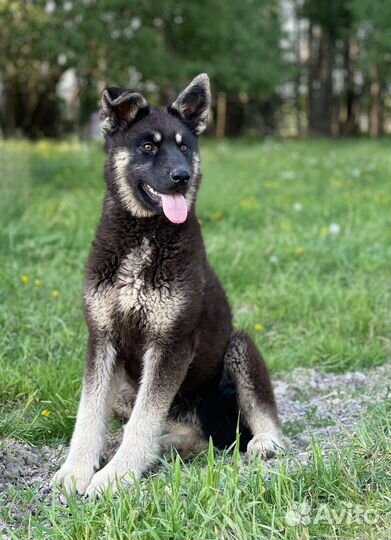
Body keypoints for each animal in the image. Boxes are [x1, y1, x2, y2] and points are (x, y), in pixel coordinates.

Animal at [52, 73, 286, 498]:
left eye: (184, 147)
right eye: (148, 146)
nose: (182, 177)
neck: (144, 234)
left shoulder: (171, 343)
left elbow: (144, 420)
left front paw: (117, 475)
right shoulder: (103, 338)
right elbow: (89, 413)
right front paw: (76, 469)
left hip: (239, 347)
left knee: (249, 419)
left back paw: (263, 441)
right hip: (127, 388)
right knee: (179, 432)